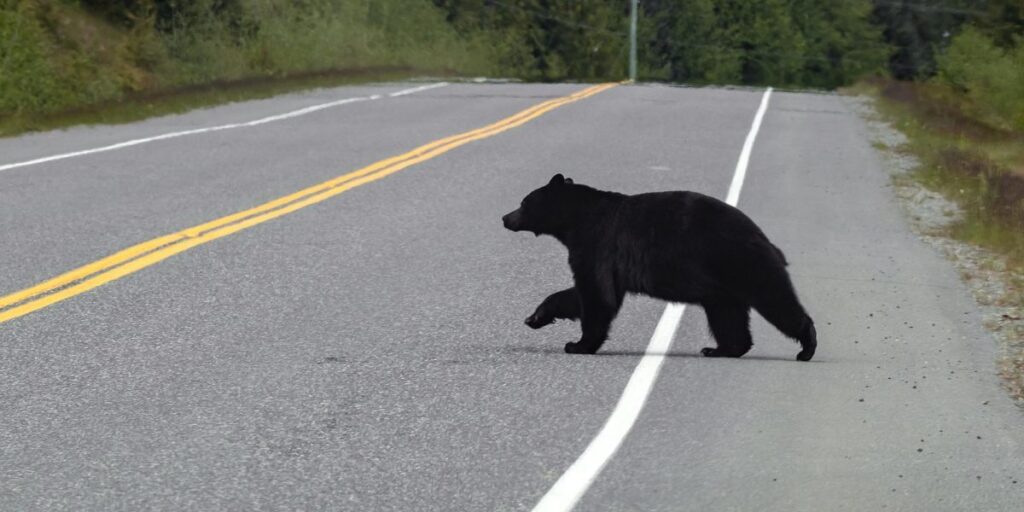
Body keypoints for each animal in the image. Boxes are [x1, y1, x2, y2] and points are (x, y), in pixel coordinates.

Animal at [502, 173, 817, 361]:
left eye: (524, 202)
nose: (505, 218)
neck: (576, 219)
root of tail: (764, 238)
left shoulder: (597, 245)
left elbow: (597, 295)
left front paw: (578, 345)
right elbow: (581, 294)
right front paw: (535, 317)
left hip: (742, 264)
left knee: (776, 301)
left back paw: (807, 346)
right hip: (722, 286)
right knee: (728, 315)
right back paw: (720, 349)